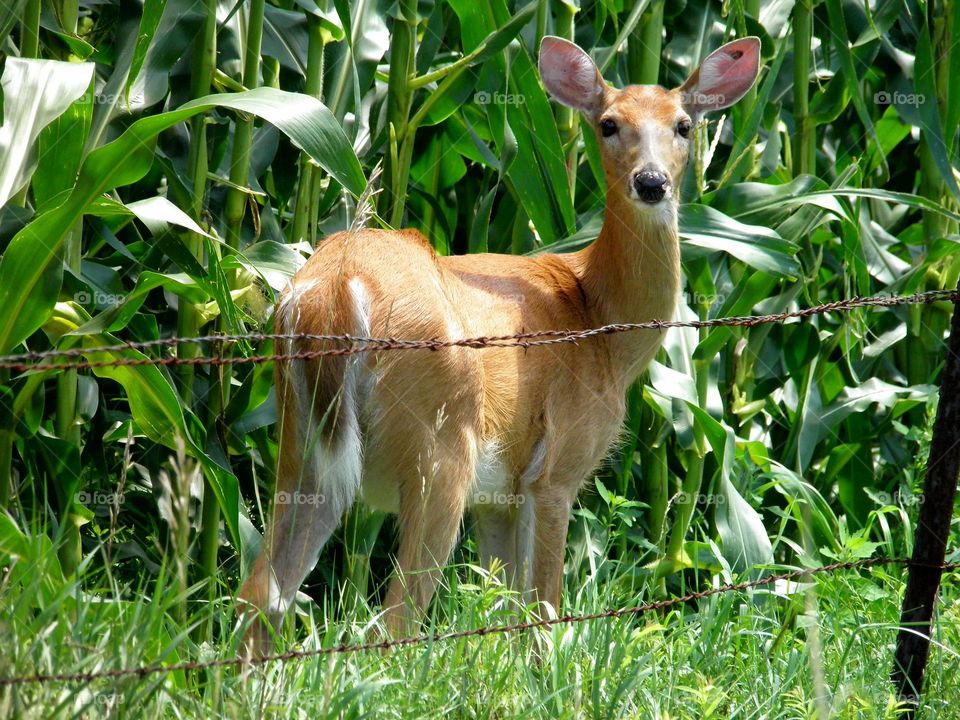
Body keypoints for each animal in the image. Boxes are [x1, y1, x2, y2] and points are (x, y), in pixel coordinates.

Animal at [238, 34, 761, 652]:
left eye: (683, 125)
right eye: (608, 123)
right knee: (396, 617)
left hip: (301, 443)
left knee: (263, 592)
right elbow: (543, 611)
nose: (652, 182)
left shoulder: (500, 494)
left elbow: (505, 615)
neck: (598, 315)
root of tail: (338, 286)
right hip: (442, 445)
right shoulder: (556, 465)